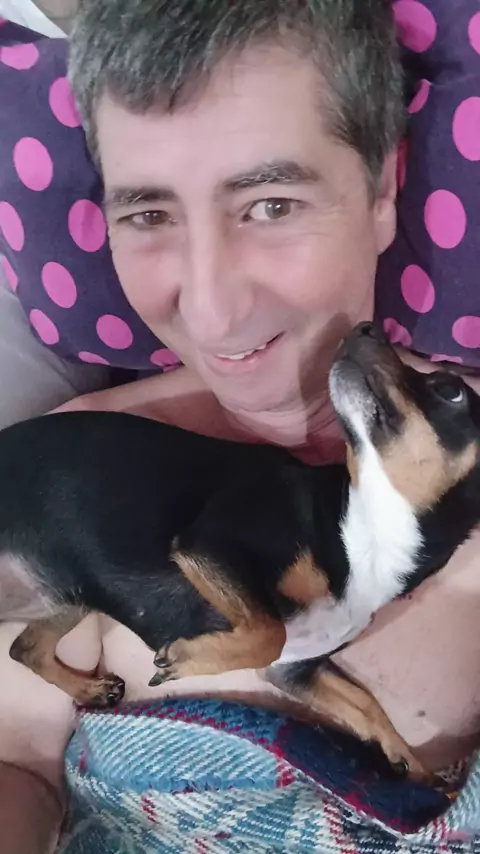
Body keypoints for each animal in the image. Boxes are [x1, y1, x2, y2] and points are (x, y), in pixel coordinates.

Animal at [1, 322, 479, 781]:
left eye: (449, 389)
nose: (366, 326)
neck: (363, 530)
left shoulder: (296, 669)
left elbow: (365, 703)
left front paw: (412, 765)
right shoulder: (211, 545)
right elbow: (269, 632)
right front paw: (186, 660)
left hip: (71, 596)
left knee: (25, 649)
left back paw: (90, 689)